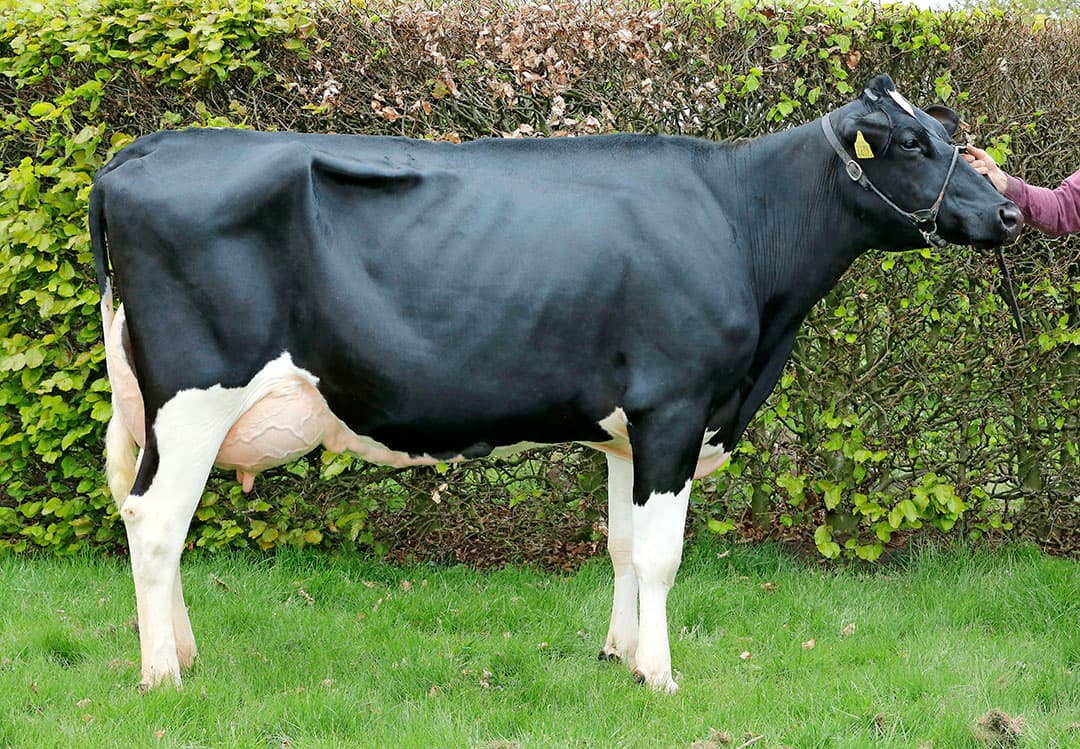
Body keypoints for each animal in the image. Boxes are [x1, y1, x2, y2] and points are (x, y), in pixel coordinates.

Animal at [89, 74, 1021, 693]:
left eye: (952, 139)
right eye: (911, 144)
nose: (1011, 212)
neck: (739, 222)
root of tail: (147, 148)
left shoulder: (628, 430)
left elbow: (621, 544)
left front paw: (619, 655)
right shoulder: (676, 407)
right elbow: (662, 552)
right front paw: (661, 675)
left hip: (152, 407)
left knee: (146, 512)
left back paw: (181, 651)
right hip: (196, 396)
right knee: (158, 520)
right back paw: (163, 673)